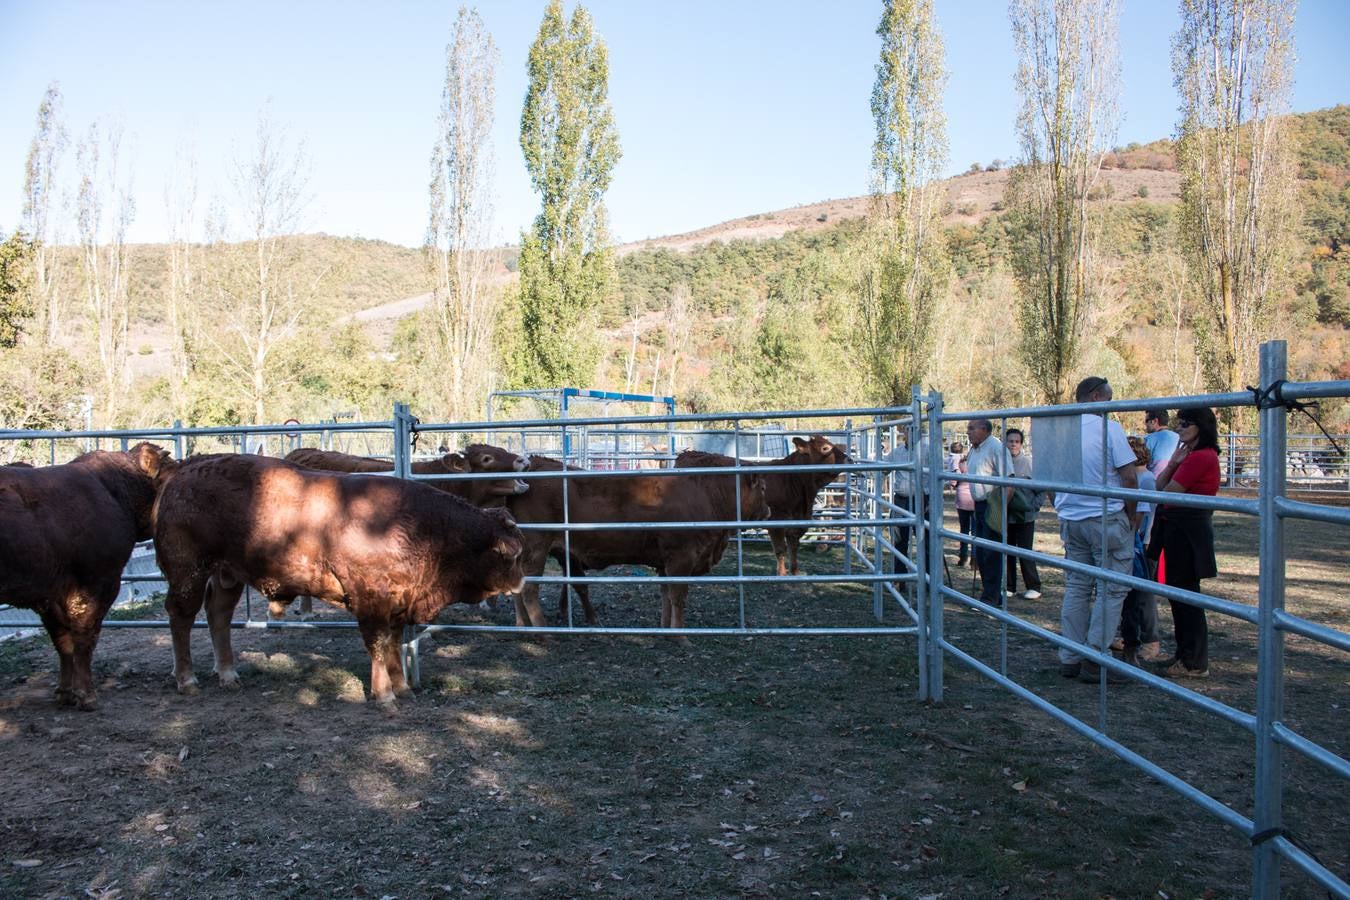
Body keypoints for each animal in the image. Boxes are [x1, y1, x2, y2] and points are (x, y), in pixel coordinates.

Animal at [0, 445, 168, 712]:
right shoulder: (99, 580)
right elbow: (85, 635)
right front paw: (86, 694)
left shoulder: (50, 593)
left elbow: (63, 640)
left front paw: (65, 692)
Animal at [151, 458, 521, 701]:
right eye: (511, 555)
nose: (520, 581)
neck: (418, 525)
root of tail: (178, 476)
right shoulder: (371, 601)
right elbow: (377, 644)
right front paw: (384, 694)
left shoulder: (398, 602)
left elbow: (392, 642)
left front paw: (402, 687)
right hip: (189, 572)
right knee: (181, 616)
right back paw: (187, 678)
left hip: (228, 574)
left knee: (219, 615)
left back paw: (228, 674)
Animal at [507, 450, 766, 634]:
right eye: (763, 487)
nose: (768, 511)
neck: (705, 491)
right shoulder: (681, 559)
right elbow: (678, 596)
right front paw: (681, 635)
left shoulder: (664, 564)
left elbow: (666, 596)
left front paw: (665, 629)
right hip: (536, 549)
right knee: (529, 589)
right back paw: (543, 631)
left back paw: (523, 625)